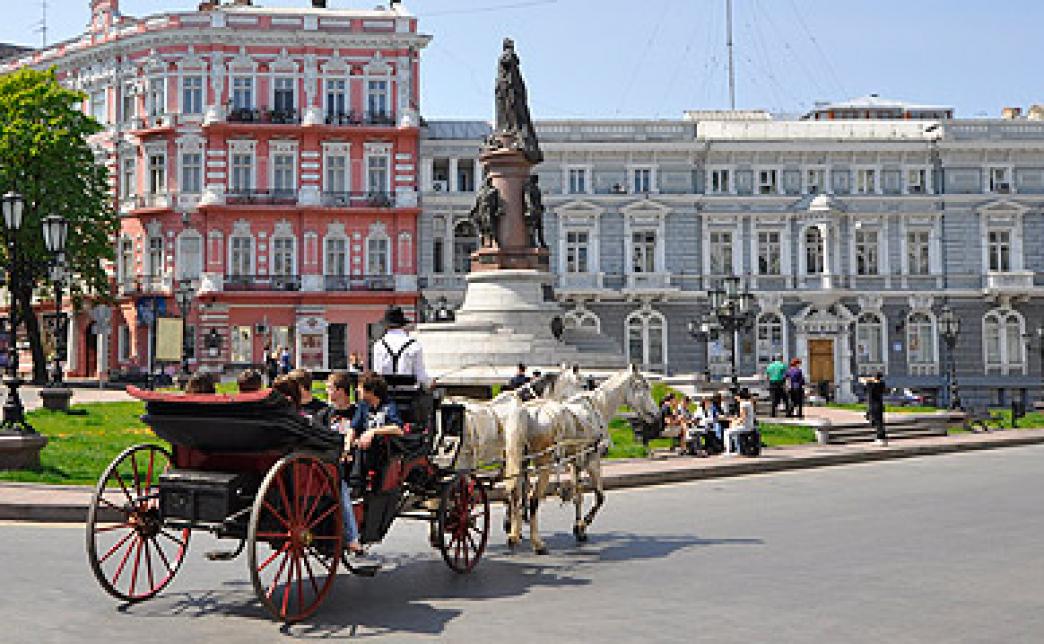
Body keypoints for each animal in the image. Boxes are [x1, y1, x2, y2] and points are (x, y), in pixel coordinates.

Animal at [503, 365, 659, 554]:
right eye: (645, 386)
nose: (657, 414)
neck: (597, 408)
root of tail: (526, 412)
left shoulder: (575, 462)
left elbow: (578, 495)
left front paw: (579, 529)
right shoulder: (593, 460)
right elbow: (600, 497)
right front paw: (583, 524)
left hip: (520, 461)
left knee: (515, 493)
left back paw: (513, 535)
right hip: (544, 465)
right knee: (533, 499)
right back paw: (537, 543)